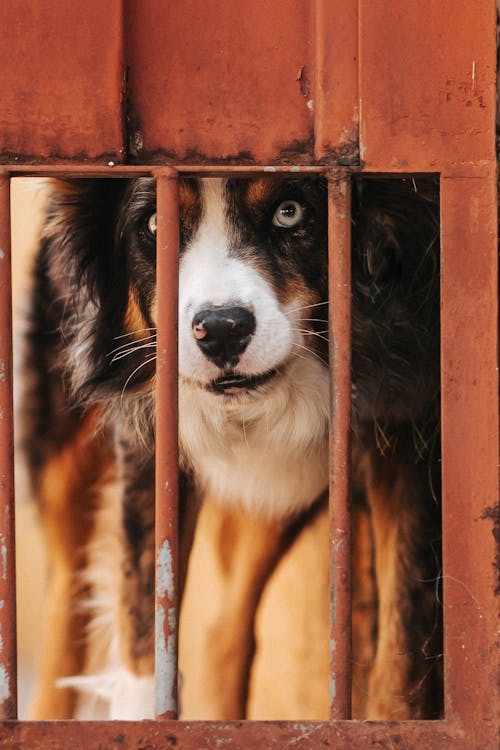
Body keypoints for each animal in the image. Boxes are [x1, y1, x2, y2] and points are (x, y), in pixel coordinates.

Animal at [20, 175, 442, 724]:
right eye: (155, 223)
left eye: (290, 211)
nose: (221, 331)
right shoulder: (151, 419)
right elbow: (143, 614)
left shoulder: (411, 418)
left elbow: (404, 643)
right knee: (66, 590)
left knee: (225, 622)